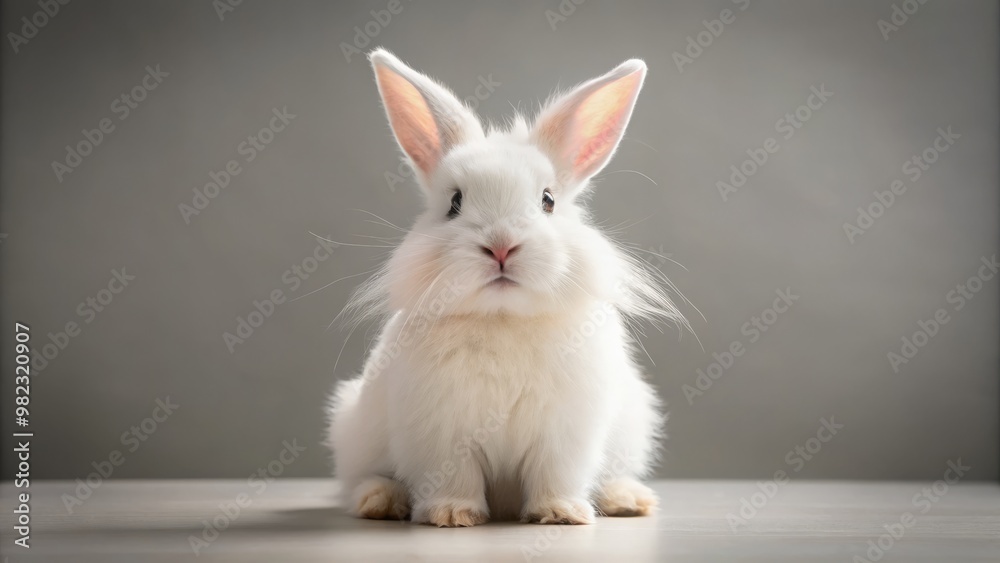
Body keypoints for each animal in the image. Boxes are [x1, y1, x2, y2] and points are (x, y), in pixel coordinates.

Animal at [327, 48, 687, 527]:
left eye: (548, 200)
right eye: (455, 203)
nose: (500, 246)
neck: (503, 317)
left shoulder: (565, 434)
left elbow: (556, 474)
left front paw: (560, 513)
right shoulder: (443, 432)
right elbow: (454, 476)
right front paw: (452, 514)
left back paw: (627, 499)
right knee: (365, 478)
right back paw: (381, 501)